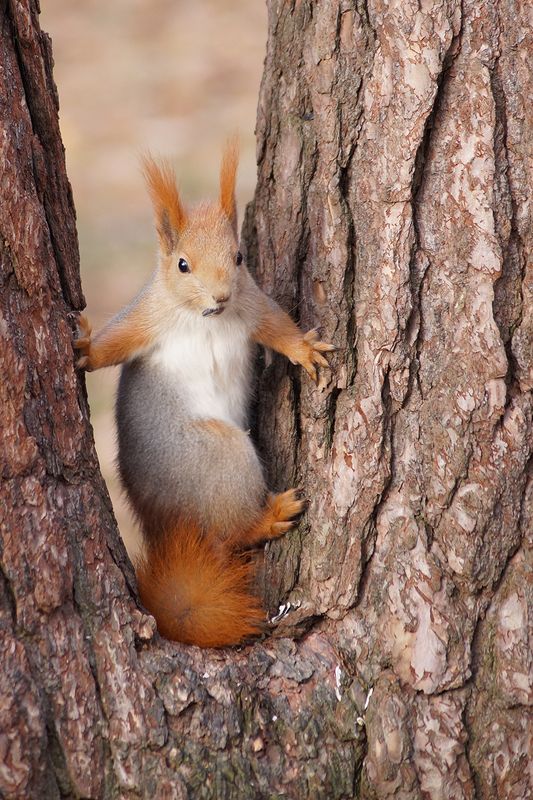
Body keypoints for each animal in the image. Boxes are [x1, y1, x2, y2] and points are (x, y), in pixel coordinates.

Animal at [74, 141, 333, 647]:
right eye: (182, 265)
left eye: (239, 257)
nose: (220, 297)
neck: (206, 319)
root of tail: (168, 525)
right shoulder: (147, 318)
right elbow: (113, 345)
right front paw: (83, 349)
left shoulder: (253, 305)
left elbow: (279, 328)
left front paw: (305, 350)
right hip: (219, 456)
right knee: (230, 535)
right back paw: (270, 516)